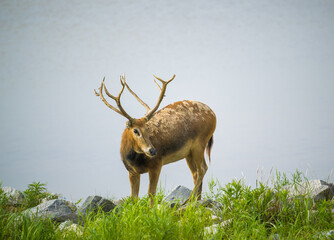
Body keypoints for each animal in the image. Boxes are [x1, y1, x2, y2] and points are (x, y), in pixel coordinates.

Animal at [93, 73, 217, 204]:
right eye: (135, 130)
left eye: (147, 127)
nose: (152, 150)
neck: (134, 159)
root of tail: (214, 115)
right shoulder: (132, 171)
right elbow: (133, 197)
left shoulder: (157, 163)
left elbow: (151, 193)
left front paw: (152, 209)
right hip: (188, 152)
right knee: (196, 173)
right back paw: (196, 201)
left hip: (200, 142)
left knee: (202, 169)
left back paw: (188, 201)